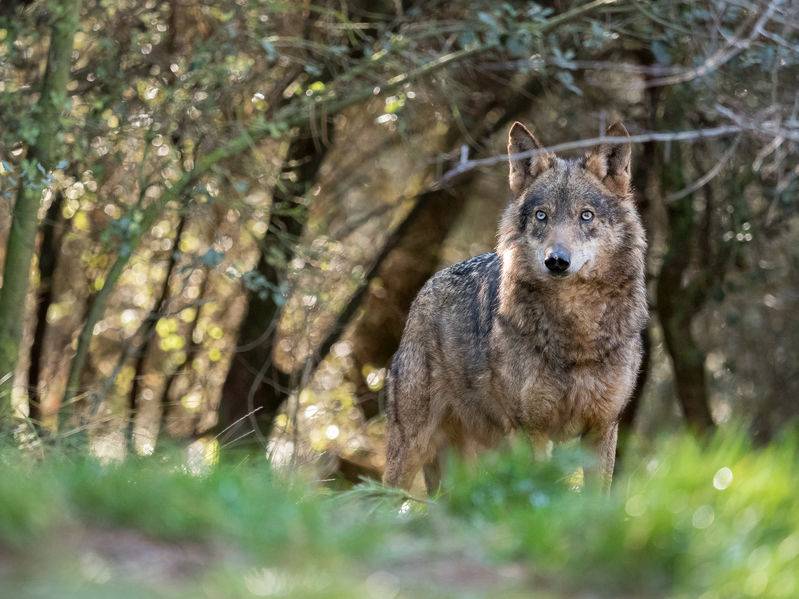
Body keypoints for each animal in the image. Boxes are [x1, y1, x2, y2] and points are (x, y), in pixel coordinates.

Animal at [382, 120, 648, 492]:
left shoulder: (602, 428)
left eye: (586, 216)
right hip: (413, 447)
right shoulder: (531, 430)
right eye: (541, 216)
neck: (576, 335)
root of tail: (427, 286)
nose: (557, 261)